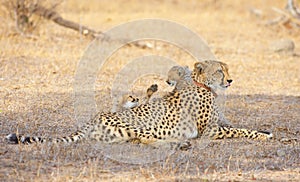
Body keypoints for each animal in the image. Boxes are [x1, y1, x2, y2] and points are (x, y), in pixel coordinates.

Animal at [5, 59, 272, 148]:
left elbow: (239, 125)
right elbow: (242, 130)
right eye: (219, 71)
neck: (203, 85)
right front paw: (263, 135)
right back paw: (179, 143)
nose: (230, 79)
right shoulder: (210, 131)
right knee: (144, 138)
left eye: (226, 69)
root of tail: (92, 119)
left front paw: (266, 130)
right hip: (139, 125)